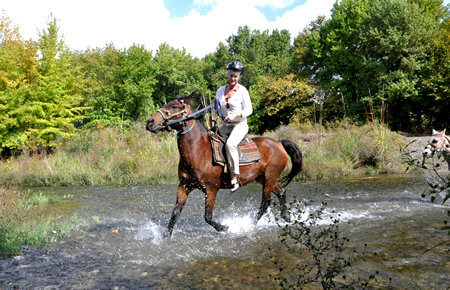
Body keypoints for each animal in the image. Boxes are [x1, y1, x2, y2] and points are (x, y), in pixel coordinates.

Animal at [147, 95, 302, 238]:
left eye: (174, 106)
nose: (150, 122)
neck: (198, 151)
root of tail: (279, 143)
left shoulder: (211, 189)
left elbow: (208, 216)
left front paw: (225, 228)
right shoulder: (184, 186)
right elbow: (175, 212)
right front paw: (166, 235)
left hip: (270, 178)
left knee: (265, 203)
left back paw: (248, 225)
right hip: (264, 178)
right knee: (281, 192)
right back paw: (286, 218)